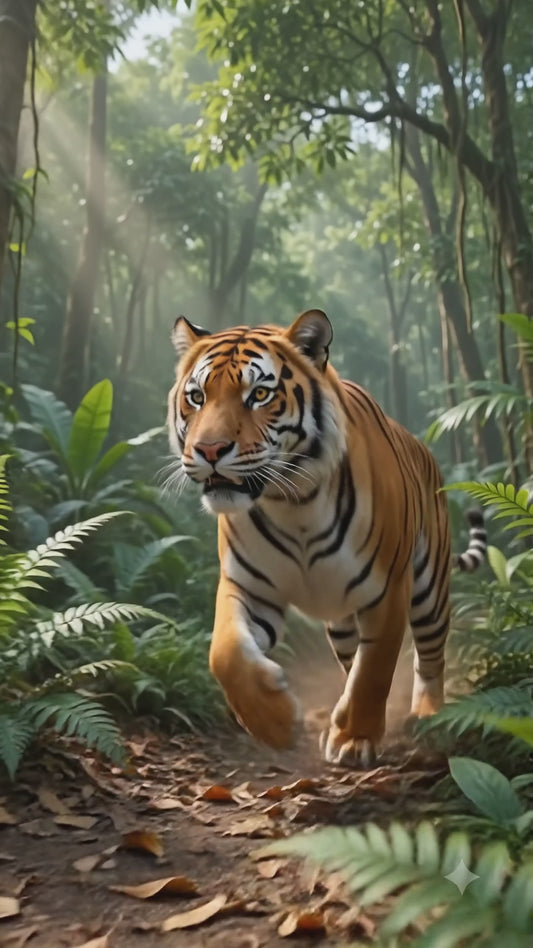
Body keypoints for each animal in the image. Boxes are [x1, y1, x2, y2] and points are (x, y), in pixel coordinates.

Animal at [167, 309, 487, 766]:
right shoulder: (247, 586)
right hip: (341, 621)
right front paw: (277, 723)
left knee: (429, 656)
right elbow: (225, 654)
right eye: (196, 397)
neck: (292, 502)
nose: (209, 450)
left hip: (429, 589)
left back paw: (425, 715)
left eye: (259, 394)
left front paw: (355, 740)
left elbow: (375, 671)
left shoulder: (388, 590)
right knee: (352, 659)